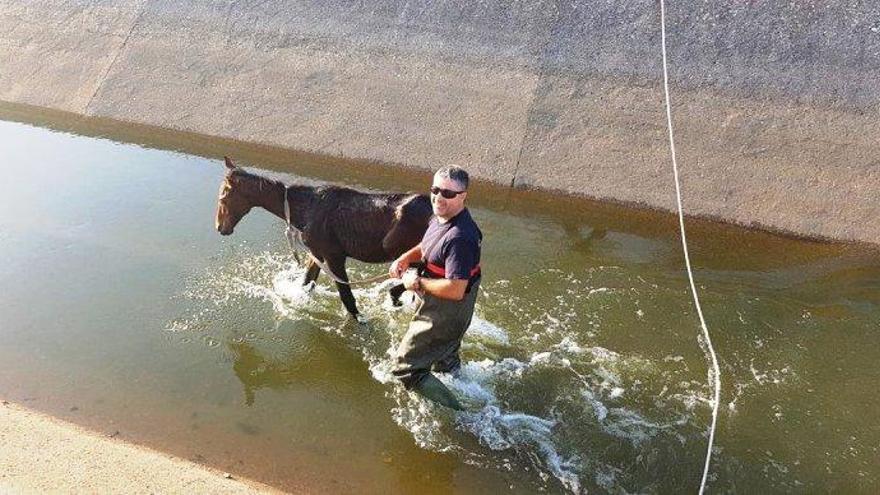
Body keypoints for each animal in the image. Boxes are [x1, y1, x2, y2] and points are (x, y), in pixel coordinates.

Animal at [215, 158, 432, 322]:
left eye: (223, 197)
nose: (219, 227)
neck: (301, 212)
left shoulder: (334, 256)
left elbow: (347, 299)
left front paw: (362, 321)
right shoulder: (317, 254)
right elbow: (306, 283)